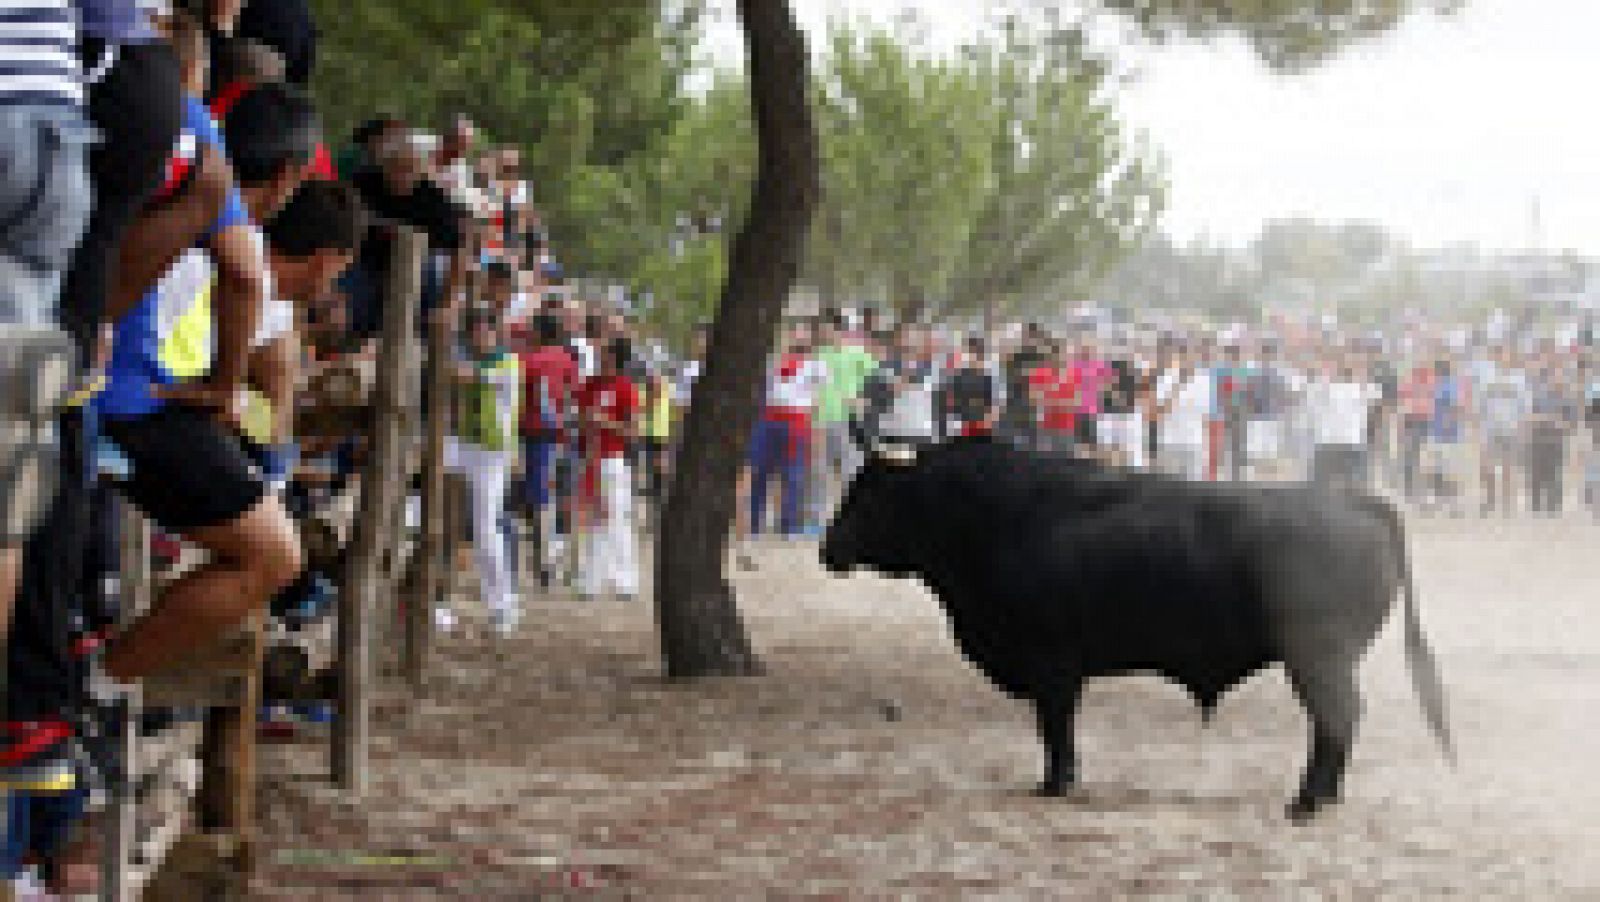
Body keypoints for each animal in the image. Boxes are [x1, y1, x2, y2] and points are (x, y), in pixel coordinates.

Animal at [819, 438, 1459, 825]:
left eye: (866, 495)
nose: (827, 548)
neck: (990, 514)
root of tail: (1355, 501)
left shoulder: (1052, 664)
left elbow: (1055, 729)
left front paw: (1055, 784)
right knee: (1337, 721)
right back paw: (1324, 797)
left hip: (1317, 658)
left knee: (1337, 716)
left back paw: (1306, 801)